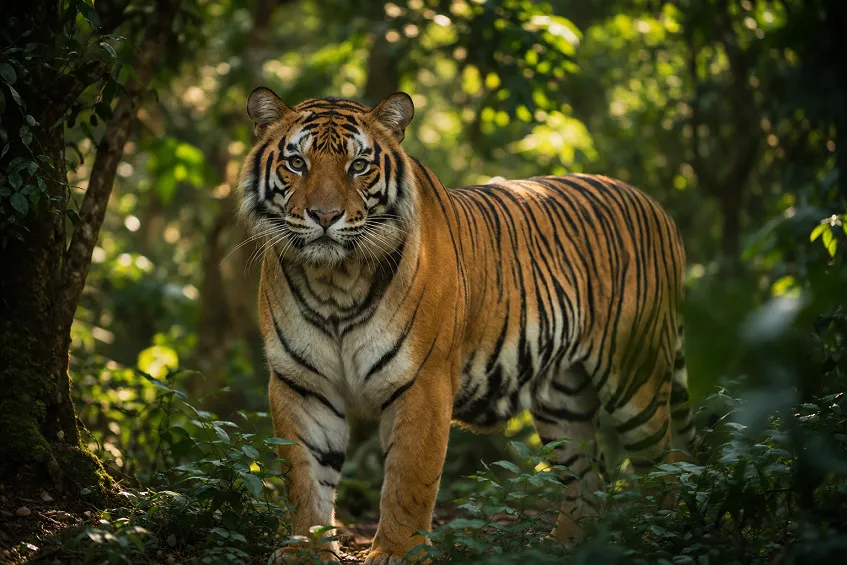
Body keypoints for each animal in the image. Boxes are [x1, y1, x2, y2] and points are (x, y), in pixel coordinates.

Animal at [236, 86, 695, 564]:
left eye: (358, 166)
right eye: (296, 163)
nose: (325, 216)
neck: (335, 283)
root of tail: (654, 204)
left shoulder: (423, 382)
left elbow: (408, 479)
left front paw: (396, 552)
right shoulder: (301, 384)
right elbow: (304, 476)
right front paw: (304, 551)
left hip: (637, 376)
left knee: (666, 465)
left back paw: (662, 539)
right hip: (563, 399)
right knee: (588, 481)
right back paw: (564, 547)